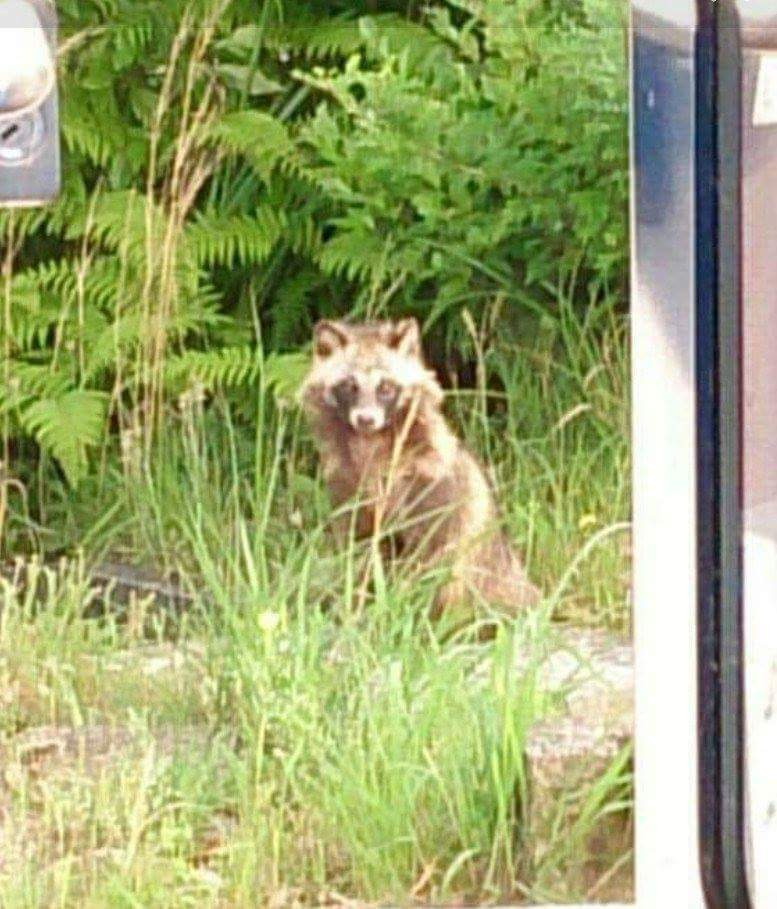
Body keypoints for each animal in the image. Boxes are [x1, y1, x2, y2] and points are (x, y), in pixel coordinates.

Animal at [298, 314, 540, 616]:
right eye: (349, 386)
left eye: (385, 387)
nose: (366, 420)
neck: (370, 442)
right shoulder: (348, 491)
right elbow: (358, 550)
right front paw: (355, 604)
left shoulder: (430, 489)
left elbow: (430, 557)